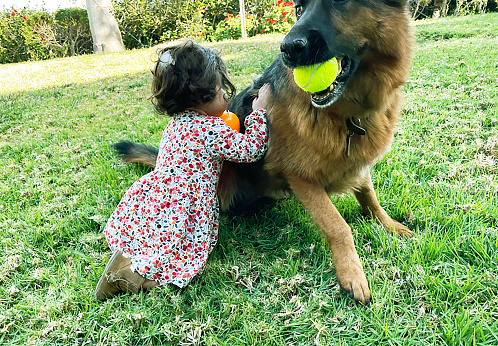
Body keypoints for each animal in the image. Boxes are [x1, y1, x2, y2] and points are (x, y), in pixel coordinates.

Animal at [115, 0, 414, 302]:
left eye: (339, 3)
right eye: (298, 9)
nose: (288, 48)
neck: (348, 115)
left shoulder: (357, 163)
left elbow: (369, 195)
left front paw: (389, 224)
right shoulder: (300, 177)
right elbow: (337, 225)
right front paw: (352, 273)